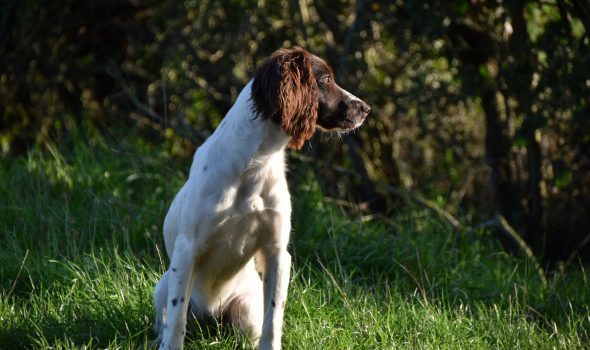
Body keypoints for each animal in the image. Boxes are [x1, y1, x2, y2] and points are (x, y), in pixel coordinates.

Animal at [155, 47, 372, 350]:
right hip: (162, 286)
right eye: (326, 79)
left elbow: (274, 319)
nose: (366, 108)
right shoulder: (187, 249)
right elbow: (176, 319)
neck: (255, 163)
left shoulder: (277, 252)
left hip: (246, 308)